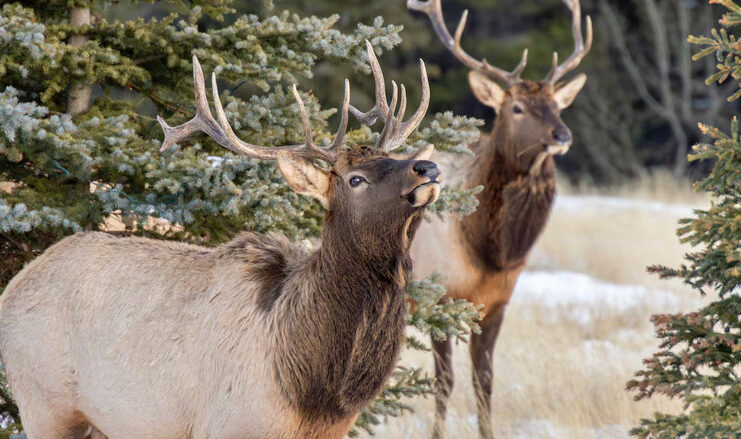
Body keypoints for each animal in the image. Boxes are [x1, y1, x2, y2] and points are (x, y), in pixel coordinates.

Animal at [0, 42, 441, 439]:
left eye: (390, 159)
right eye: (356, 179)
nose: (428, 167)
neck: (309, 388)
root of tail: (13, 286)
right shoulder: (229, 423)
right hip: (43, 400)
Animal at [407, 1, 592, 437]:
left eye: (557, 106)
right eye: (517, 108)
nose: (562, 135)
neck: (489, 251)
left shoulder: (496, 304)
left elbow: (484, 381)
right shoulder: (437, 297)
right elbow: (443, 382)